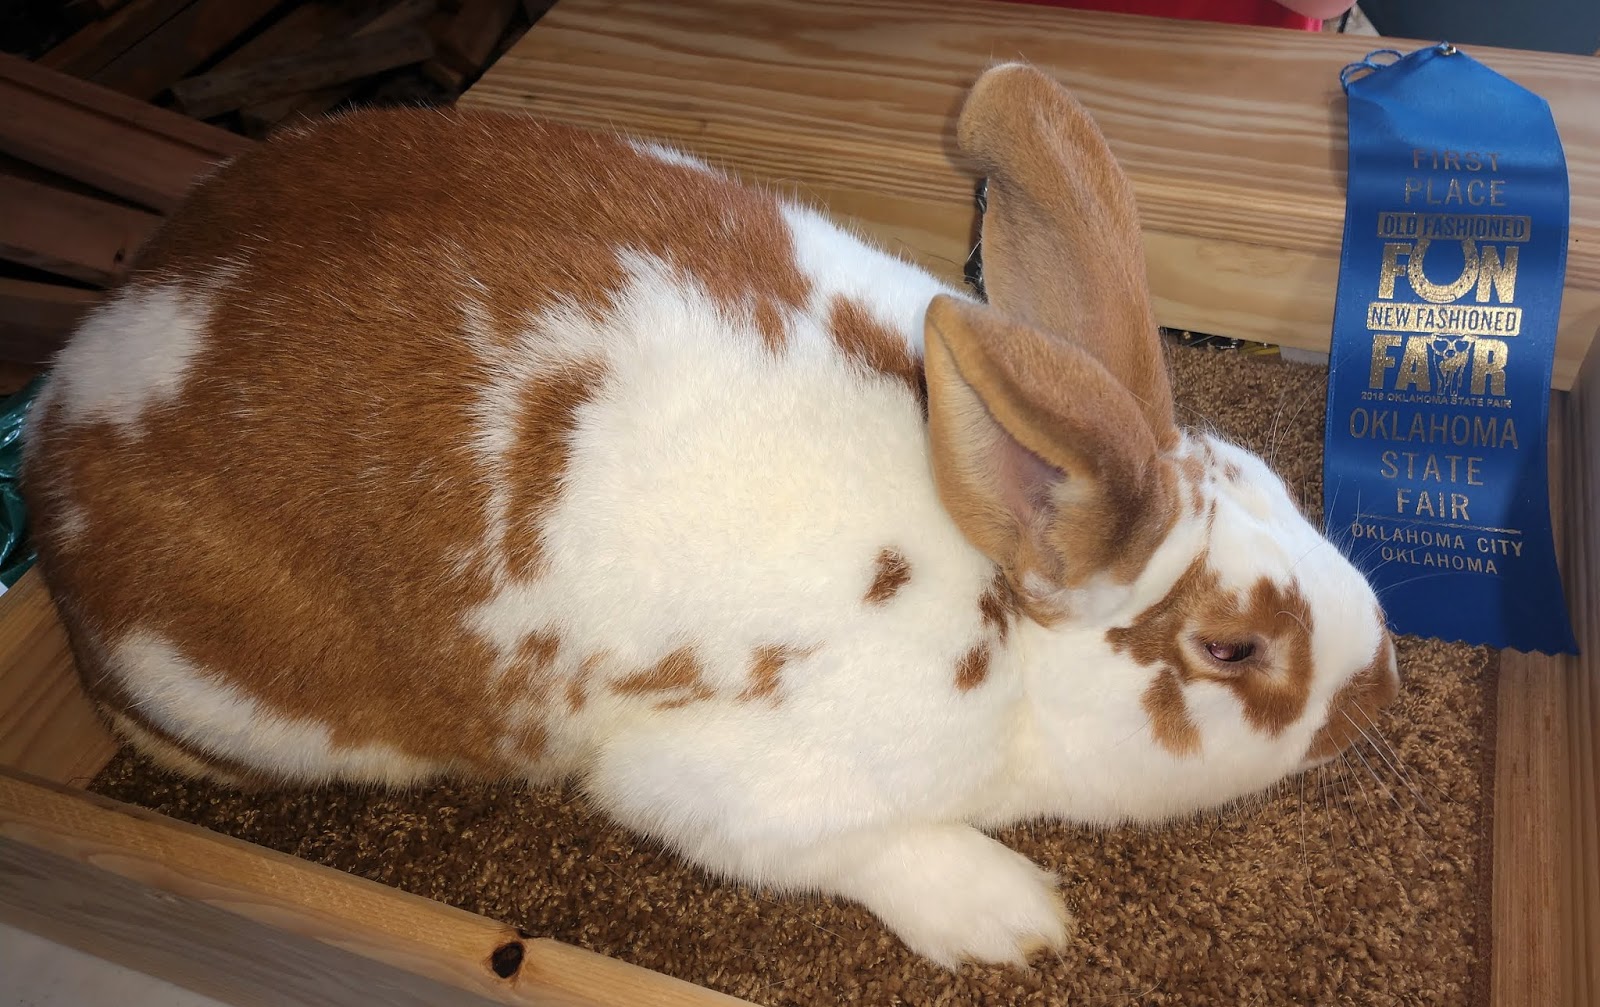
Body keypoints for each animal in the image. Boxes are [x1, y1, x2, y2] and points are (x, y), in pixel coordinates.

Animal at [22, 63, 1398, 968]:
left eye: (1279, 483)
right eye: (1231, 646)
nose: (1376, 694)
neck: (1000, 616)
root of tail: (61, 410)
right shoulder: (730, 784)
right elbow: (864, 846)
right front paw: (1013, 916)